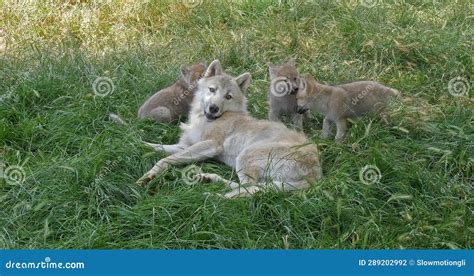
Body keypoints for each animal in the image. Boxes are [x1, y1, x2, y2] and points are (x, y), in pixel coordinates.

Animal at [137, 60, 322, 198]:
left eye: (228, 96)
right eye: (212, 90)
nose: (213, 109)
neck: (203, 119)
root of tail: (316, 172)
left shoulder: (211, 145)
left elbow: (165, 159)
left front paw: (148, 177)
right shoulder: (184, 146)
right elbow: (158, 149)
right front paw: (137, 144)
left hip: (245, 155)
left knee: (248, 189)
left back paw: (214, 197)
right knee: (251, 186)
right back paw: (208, 178)